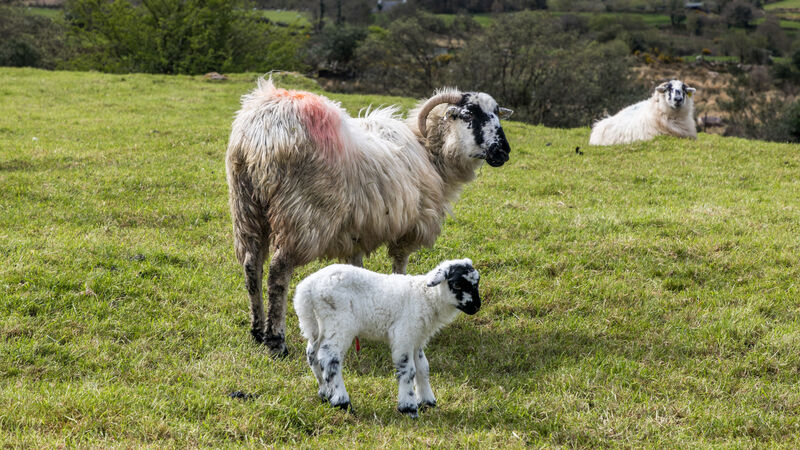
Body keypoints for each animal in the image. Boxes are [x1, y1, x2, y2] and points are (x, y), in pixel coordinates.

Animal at [225, 77, 512, 356]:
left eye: (497, 113)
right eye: (469, 113)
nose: (503, 152)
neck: (431, 154)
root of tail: (262, 132)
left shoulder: (356, 231)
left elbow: (357, 268)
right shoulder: (410, 227)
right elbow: (399, 265)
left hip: (246, 207)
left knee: (251, 265)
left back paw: (256, 330)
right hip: (302, 215)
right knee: (278, 272)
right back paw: (276, 341)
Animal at [293, 258, 481, 417]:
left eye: (477, 283)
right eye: (457, 285)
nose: (477, 307)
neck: (425, 297)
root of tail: (307, 287)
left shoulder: (416, 339)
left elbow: (423, 368)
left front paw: (427, 401)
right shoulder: (403, 335)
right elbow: (409, 370)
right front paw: (408, 407)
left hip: (320, 323)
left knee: (312, 353)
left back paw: (325, 393)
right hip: (339, 322)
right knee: (329, 358)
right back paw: (342, 402)